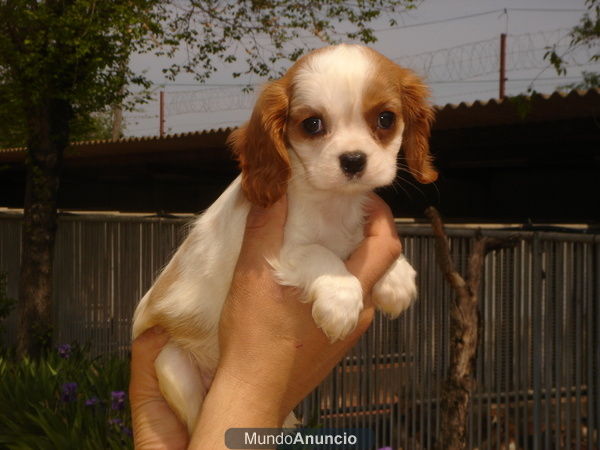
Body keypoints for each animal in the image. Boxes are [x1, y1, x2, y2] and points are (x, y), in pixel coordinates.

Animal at [132, 44, 436, 432]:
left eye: (385, 119)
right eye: (312, 124)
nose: (353, 160)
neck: (333, 204)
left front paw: (397, 279)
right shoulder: (285, 250)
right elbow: (323, 256)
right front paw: (341, 301)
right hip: (173, 365)